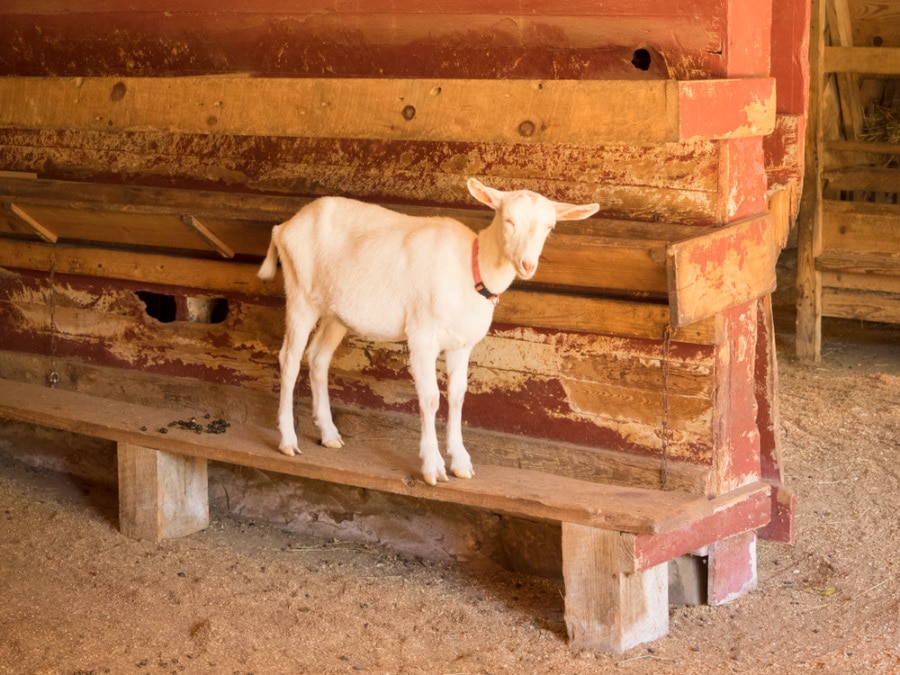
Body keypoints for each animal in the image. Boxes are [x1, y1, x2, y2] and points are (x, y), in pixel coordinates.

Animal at [257, 178, 599, 485]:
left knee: (318, 358)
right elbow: (431, 397)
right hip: (300, 294)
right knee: (289, 359)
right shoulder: (422, 336)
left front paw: (461, 463)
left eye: (550, 227)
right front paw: (433, 467)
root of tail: (284, 227)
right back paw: (288, 441)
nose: (527, 265)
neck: (471, 269)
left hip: (336, 312)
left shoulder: (462, 344)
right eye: (508, 219)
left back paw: (329, 434)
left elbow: (458, 396)